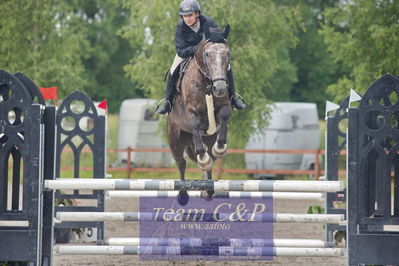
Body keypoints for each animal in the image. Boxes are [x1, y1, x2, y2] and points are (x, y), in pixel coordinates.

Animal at [167, 25, 233, 204]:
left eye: (227, 53)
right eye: (207, 54)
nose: (220, 88)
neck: (207, 83)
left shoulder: (224, 106)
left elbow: (224, 118)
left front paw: (220, 148)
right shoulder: (191, 113)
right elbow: (195, 126)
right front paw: (202, 159)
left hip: (208, 138)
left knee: (210, 158)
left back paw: (208, 190)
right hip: (175, 139)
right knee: (181, 163)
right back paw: (183, 195)